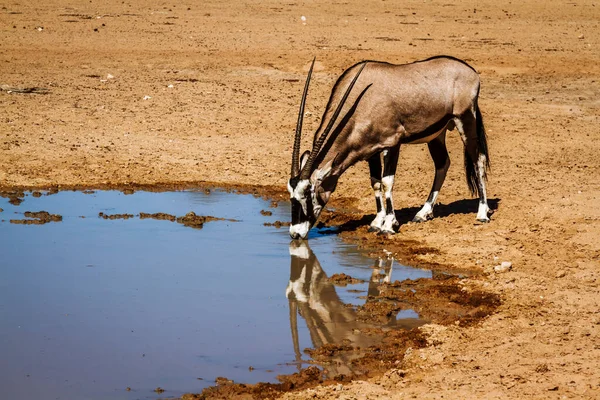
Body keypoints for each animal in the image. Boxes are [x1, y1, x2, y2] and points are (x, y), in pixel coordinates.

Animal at [288, 54, 490, 239]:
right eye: (291, 195)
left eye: (308, 193)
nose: (295, 233)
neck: (361, 100)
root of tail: (471, 71)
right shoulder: (371, 151)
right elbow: (376, 182)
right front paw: (377, 222)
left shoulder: (392, 144)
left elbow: (387, 182)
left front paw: (389, 224)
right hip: (436, 135)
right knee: (442, 164)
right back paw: (423, 213)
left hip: (465, 120)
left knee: (477, 160)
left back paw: (482, 212)